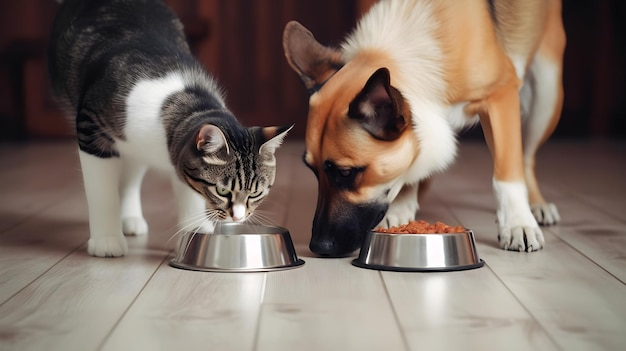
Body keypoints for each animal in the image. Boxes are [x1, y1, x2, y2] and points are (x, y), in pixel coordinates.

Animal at [46, 0, 290, 258]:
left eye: (255, 194)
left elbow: (188, 189)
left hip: (136, 147)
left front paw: (195, 229)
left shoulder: (178, 156)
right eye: (222, 191)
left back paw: (131, 218)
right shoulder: (91, 130)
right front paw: (107, 240)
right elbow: (102, 193)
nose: (238, 218)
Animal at [280, 0, 564, 258]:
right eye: (312, 170)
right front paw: (401, 210)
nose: (317, 247)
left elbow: (507, 174)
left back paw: (534, 205)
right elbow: (411, 162)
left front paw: (517, 223)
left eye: (346, 173)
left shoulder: (501, 96)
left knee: (525, 156)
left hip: (546, 94)